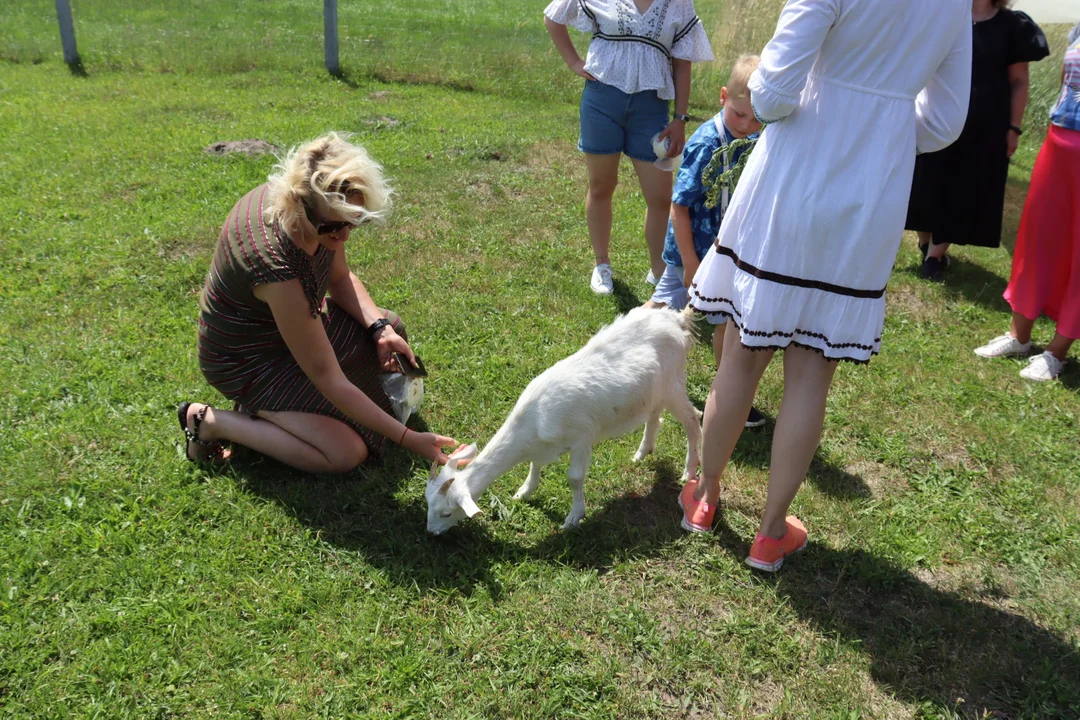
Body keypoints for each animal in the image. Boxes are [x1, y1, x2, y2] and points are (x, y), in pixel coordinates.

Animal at [425, 304, 704, 535]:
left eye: (446, 512)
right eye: (427, 503)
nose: (431, 533)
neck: (534, 420)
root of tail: (678, 319)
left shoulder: (582, 437)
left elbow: (574, 478)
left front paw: (573, 518)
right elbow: (535, 465)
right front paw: (524, 491)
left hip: (674, 384)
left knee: (693, 420)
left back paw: (688, 471)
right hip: (653, 391)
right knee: (655, 415)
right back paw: (643, 452)